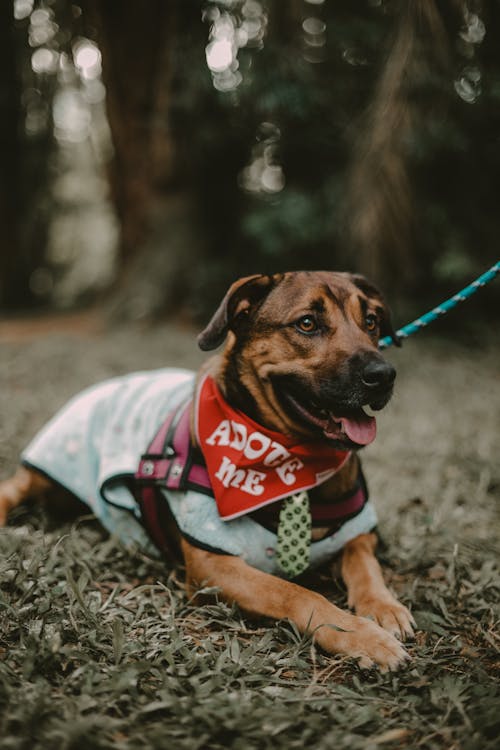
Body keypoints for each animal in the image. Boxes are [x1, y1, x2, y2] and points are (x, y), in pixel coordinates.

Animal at [0, 274, 414, 672]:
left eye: (371, 321)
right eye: (307, 323)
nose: (384, 374)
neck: (291, 462)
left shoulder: (359, 532)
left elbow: (365, 566)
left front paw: (383, 607)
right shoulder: (213, 566)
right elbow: (294, 592)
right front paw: (362, 637)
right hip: (46, 470)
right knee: (14, 486)